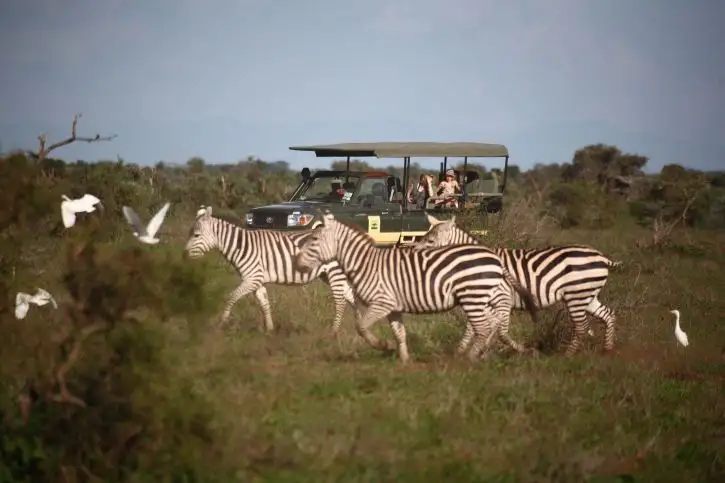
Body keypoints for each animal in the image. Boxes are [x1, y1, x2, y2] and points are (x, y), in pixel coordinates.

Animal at [184, 206, 360, 334]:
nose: (184, 254)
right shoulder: (258, 281)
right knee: (350, 296)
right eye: (190, 234)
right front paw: (269, 329)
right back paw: (360, 327)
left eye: (196, 235)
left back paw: (333, 332)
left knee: (341, 301)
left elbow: (231, 297)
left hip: (334, 272)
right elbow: (265, 304)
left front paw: (221, 323)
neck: (241, 246)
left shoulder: (252, 278)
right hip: (328, 274)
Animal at [292, 210, 536, 364]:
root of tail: (496, 258)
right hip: (483, 297)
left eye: (314, 239)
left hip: (473, 297)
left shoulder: (381, 302)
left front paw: (382, 345)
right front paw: (404, 360)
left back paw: (469, 359)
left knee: (484, 328)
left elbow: (361, 326)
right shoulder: (393, 307)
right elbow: (400, 334)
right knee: (489, 325)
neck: (366, 263)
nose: (296, 262)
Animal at [418, 214, 624, 358]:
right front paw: (466, 351)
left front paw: (476, 351)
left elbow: (486, 327)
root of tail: (602, 257)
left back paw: (567, 356)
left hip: (577, 295)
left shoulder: (496, 298)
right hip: (587, 295)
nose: (413, 250)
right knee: (608, 315)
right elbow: (479, 326)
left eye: (430, 241)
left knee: (581, 326)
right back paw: (607, 350)